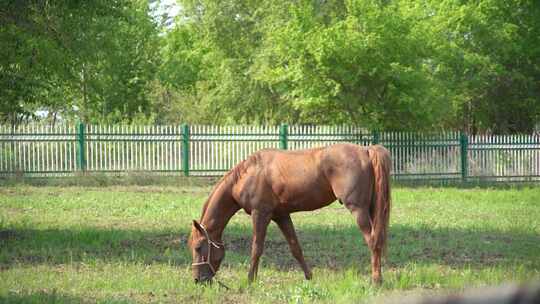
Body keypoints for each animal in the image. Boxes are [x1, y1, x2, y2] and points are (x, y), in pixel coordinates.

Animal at [188, 144, 390, 284]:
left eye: (198, 247)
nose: (197, 280)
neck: (248, 173)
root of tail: (366, 150)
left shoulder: (260, 214)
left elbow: (256, 248)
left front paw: (250, 280)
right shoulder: (281, 216)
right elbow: (295, 248)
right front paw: (309, 277)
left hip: (358, 210)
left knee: (373, 241)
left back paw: (376, 280)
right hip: (370, 209)